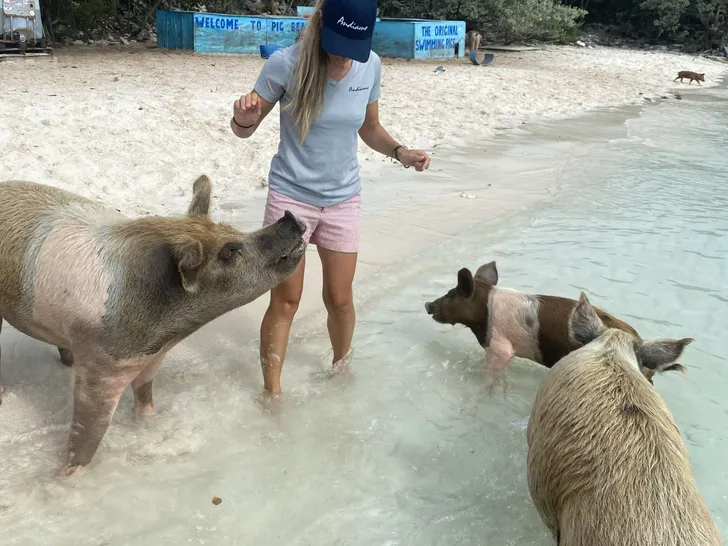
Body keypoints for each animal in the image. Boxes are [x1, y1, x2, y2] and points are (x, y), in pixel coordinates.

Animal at [0, 175, 306, 476]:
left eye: (229, 229)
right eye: (230, 251)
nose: (289, 217)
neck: (169, 332)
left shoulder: (152, 357)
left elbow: (145, 394)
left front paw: (149, 424)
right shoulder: (102, 362)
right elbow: (90, 429)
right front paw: (65, 476)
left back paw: (67, 362)